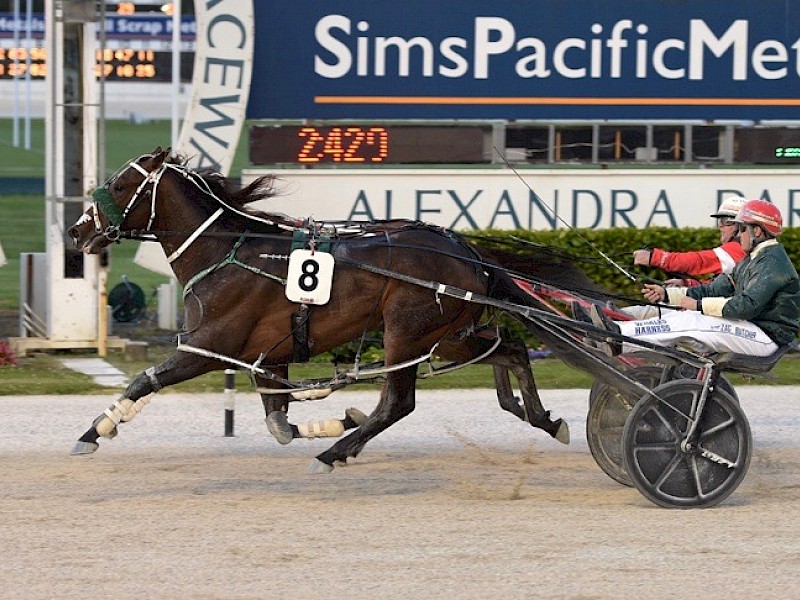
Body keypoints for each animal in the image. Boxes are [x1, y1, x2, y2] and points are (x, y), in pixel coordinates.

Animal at [69, 146, 620, 474]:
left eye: (119, 185)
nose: (76, 231)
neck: (227, 251)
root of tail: (467, 251)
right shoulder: (267, 357)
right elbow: (280, 425)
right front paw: (339, 418)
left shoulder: (208, 347)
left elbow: (143, 382)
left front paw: (93, 432)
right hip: (446, 334)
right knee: (510, 349)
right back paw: (541, 417)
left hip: (406, 331)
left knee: (398, 403)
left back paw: (334, 454)